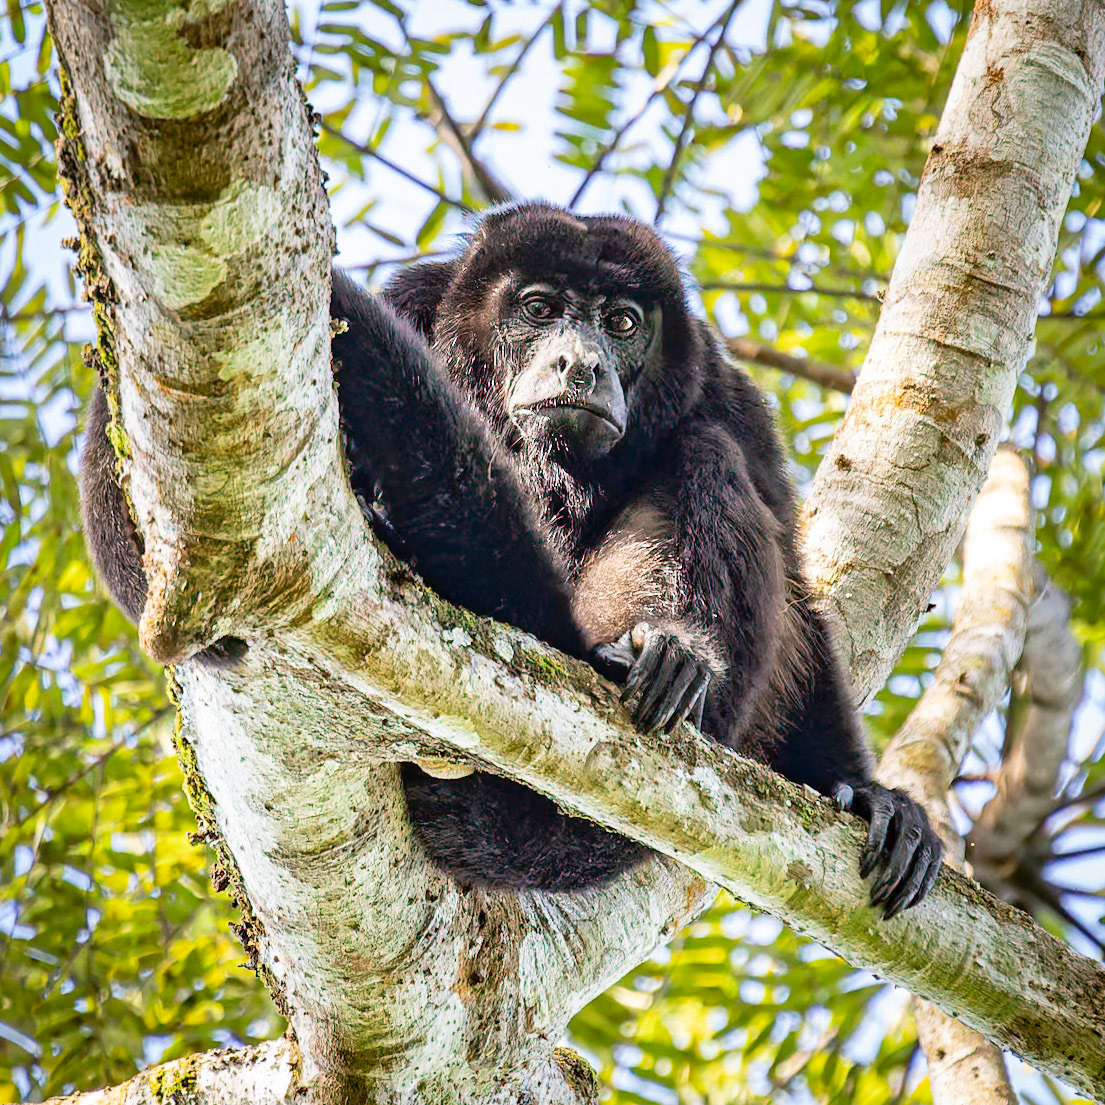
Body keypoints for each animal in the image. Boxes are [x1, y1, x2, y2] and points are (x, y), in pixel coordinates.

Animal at [80, 201, 943, 919]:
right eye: (537, 309)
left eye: (620, 321)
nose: (581, 363)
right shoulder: (415, 300)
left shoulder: (724, 392)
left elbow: (790, 573)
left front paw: (865, 793)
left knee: (709, 461)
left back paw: (669, 656)